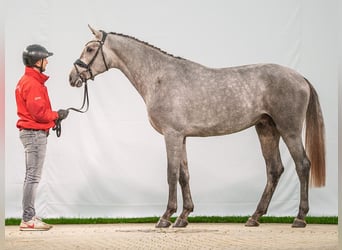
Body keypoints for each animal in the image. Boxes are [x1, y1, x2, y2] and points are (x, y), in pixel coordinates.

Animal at [69, 25, 326, 229]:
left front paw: (166, 217)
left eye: (90, 49)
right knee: (274, 169)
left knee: (302, 165)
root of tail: (300, 77)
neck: (159, 76)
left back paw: (299, 218)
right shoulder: (181, 136)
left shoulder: (171, 135)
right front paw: (183, 217)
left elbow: (171, 173)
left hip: (289, 129)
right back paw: (254, 217)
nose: (72, 77)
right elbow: (184, 175)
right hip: (266, 129)